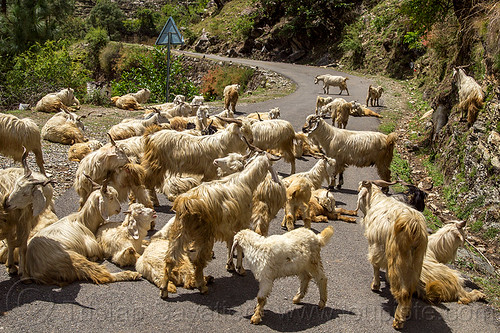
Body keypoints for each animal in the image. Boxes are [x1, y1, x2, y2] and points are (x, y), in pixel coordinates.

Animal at [358, 179, 428, 326]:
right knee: (410, 288)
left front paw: (375, 285)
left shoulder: (376, 246)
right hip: (416, 260)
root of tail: (414, 226)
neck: (376, 200)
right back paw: (406, 312)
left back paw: (398, 320)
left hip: (398, 258)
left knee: (404, 292)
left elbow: (376, 266)